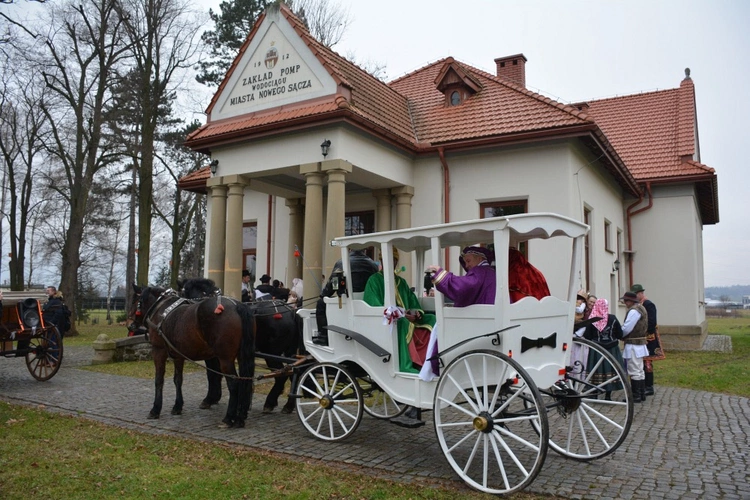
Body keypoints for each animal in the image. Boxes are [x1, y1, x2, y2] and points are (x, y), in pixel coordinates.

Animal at [131, 284, 258, 428]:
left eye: (134, 301)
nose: (130, 325)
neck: (161, 309)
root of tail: (237, 305)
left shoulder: (159, 350)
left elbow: (159, 380)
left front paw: (155, 409)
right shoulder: (178, 355)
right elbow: (178, 380)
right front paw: (177, 406)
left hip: (225, 359)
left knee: (234, 384)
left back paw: (228, 417)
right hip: (241, 356)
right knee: (244, 381)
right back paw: (240, 417)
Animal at [181, 278, 304, 414]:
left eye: (183, 292)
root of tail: (291, 312)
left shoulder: (213, 356)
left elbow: (213, 374)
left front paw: (209, 399)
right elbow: (217, 374)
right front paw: (215, 397)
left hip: (272, 353)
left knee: (282, 376)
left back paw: (270, 403)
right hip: (290, 352)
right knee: (294, 375)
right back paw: (288, 405)